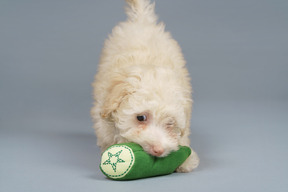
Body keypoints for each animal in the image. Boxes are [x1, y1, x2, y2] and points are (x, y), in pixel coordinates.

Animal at [91, 0, 199, 172]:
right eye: (141, 118)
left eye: (170, 123)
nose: (158, 150)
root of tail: (142, 20)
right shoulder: (102, 109)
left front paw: (186, 161)